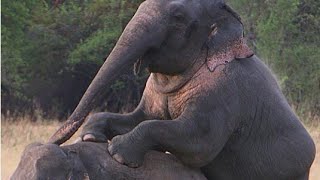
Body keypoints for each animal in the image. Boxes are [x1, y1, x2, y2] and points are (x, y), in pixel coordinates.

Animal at [48, 0, 316, 179]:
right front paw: (91, 136)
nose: (52, 143)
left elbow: (199, 143)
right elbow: (139, 117)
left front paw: (118, 152)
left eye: (178, 16)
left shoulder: (223, 92)